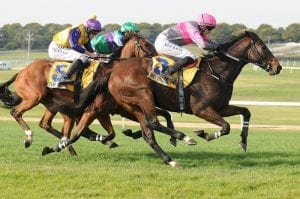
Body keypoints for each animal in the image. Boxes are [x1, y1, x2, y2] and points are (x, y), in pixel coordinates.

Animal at [0, 31, 173, 155]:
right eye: (146, 44)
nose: (160, 61)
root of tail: (21, 72)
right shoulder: (100, 109)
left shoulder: (117, 108)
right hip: (35, 97)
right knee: (16, 112)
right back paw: (29, 138)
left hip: (52, 104)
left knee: (46, 124)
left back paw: (70, 148)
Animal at [48, 31, 282, 167]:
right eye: (263, 47)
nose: (277, 66)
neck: (217, 72)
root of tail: (113, 72)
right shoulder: (202, 109)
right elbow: (225, 127)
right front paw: (203, 134)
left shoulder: (220, 106)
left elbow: (245, 112)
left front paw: (243, 142)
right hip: (142, 96)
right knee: (152, 123)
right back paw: (183, 138)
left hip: (133, 105)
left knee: (146, 132)